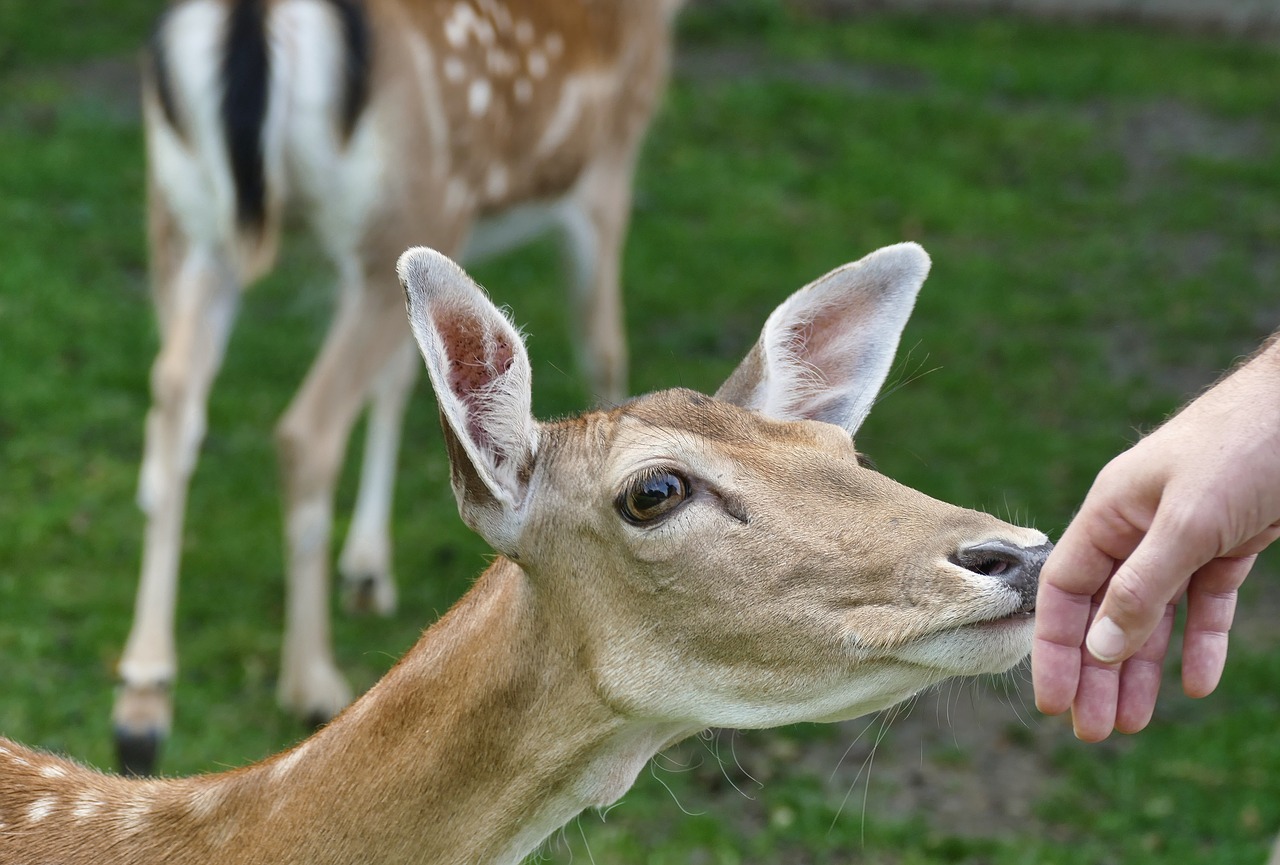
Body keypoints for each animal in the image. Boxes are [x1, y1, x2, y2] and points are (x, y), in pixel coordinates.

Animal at [117, 0, 680, 772]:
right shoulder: (606, 166)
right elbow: (604, 353)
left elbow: (411, 379)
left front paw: (368, 569)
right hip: (400, 208)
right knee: (305, 428)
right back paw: (312, 682)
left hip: (185, 222)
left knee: (173, 401)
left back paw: (142, 700)